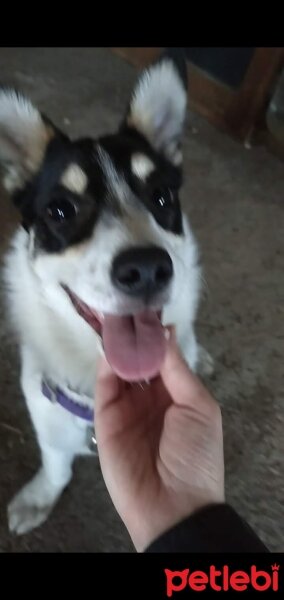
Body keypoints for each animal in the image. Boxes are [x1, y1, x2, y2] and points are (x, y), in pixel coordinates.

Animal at [0, 50, 213, 536]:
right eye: (61, 209)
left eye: (161, 195)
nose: (148, 269)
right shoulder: (45, 409)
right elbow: (56, 464)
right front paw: (40, 497)